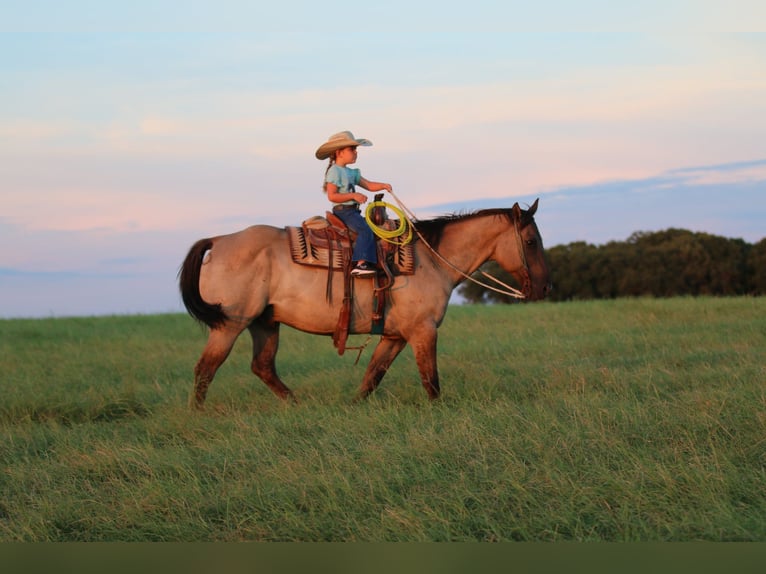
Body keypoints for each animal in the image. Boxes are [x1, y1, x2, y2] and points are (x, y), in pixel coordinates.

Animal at [178, 199, 551, 408]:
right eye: (531, 241)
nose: (545, 286)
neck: (432, 260)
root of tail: (220, 241)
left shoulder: (395, 336)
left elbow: (373, 375)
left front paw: (352, 407)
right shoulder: (423, 331)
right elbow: (430, 380)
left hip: (265, 324)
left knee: (263, 367)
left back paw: (298, 405)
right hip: (231, 325)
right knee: (205, 369)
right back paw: (198, 414)